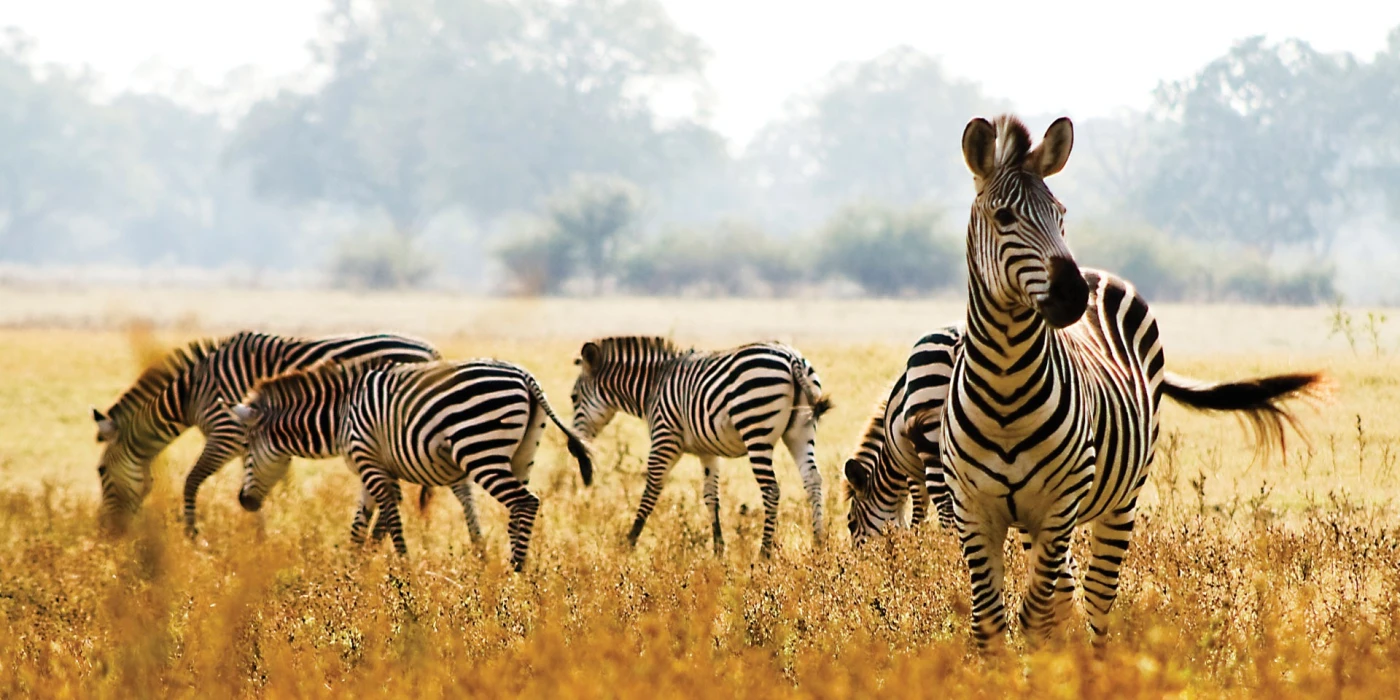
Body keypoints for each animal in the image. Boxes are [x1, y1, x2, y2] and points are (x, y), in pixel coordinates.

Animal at [91, 329, 442, 534]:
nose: (105, 531)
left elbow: (191, 482)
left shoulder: (226, 433)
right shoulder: (249, 440)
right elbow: (254, 487)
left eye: (100, 471)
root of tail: (431, 351)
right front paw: (260, 540)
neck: (192, 394)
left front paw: (192, 536)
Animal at [229, 358, 590, 571]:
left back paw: (514, 571)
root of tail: (526, 377)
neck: (340, 414)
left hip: (480, 449)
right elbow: (360, 525)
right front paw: (353, 571)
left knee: (525, 503)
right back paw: (516, 574)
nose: (244, 502)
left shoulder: (370, 463)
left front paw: (402, 572)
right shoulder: (373, 465)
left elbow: (389, 518)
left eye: (245, 446)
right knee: (517, 511)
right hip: (522, 455)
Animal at [571, 336, 828, 560]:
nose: (573, 448)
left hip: (755, 429)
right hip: (800, 431)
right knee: (813, 480)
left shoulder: (665, 438)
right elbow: (711, 497)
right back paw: (817, 544)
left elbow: (651, 490)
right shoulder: (708, 452)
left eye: (573, 398)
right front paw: (718, 551)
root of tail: (792, 357)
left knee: (771, 490)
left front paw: (628, 544)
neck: (653, 385)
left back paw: (764, 554)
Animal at [940, 113, 1321, 644]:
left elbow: (1035, 616)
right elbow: (989, 623)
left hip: (1119, 500)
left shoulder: (1058, 506)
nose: (1072, 294)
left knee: (1097, 597)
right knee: (1067, 593)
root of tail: (1100, 274)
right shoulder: (973, 511)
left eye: (1060, 213)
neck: (1005, 388)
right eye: (1005, 218)